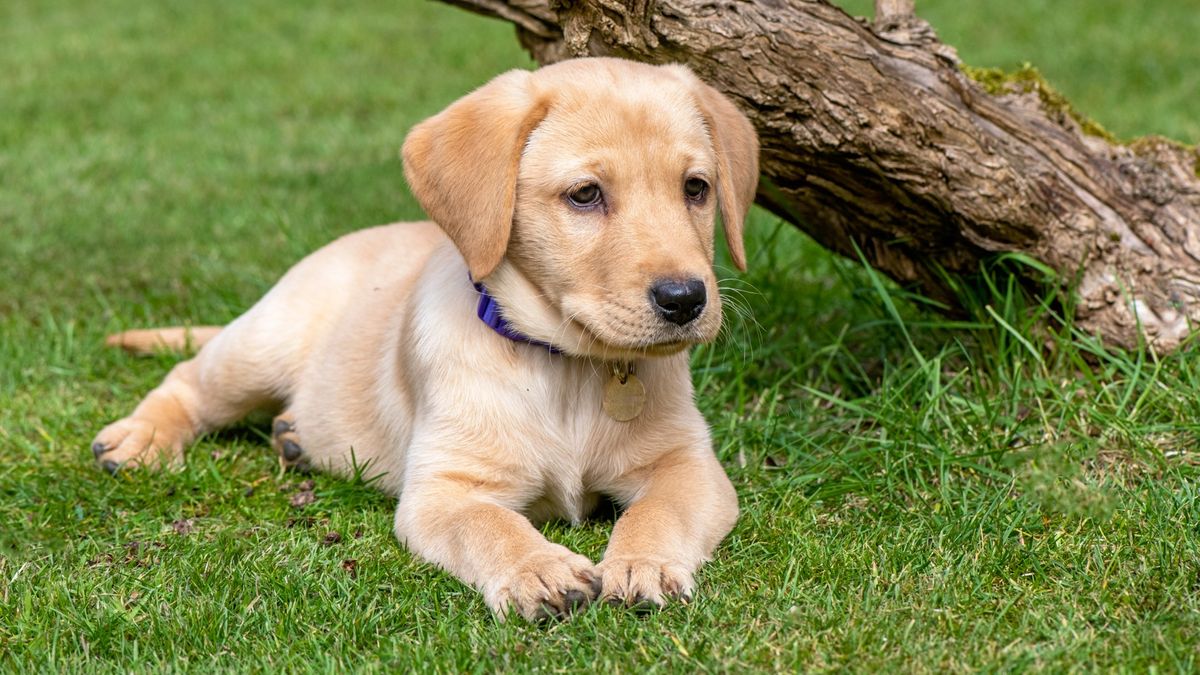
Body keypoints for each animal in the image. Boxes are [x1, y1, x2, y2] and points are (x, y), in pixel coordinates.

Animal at [98, 57, 763, 619]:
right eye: (585, 195)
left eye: (696, 188)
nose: (685, 300)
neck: (566, 364)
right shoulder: (443, 491)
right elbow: (492, 527)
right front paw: (538, 570)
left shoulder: (687, 464)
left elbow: (659, 510)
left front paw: (644, 563)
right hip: (261, 345)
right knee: (189, 380)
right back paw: (139, 439)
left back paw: (293, 438)